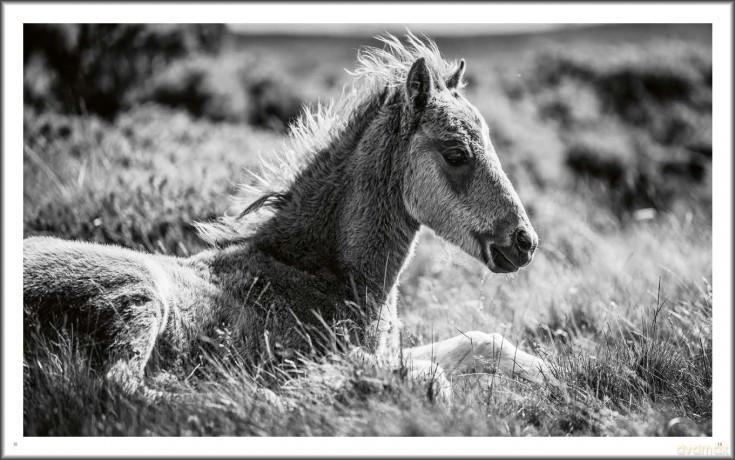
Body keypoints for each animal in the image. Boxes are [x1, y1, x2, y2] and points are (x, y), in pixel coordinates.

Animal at [23, 33, 555, 400]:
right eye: (456, 154)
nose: (524, 242)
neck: (316, 271)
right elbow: (431, 377)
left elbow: (478, 342)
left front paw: (551, 376)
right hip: (139, 293)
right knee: (120, 384)